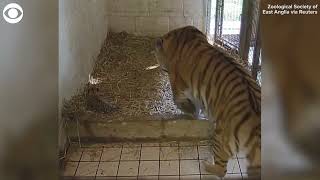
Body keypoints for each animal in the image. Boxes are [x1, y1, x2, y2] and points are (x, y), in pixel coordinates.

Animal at [154, 26, 262, 178]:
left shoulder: (179, 88)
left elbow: (183, 103)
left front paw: (193, 112)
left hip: (221, 137)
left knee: (221, 170)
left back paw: (206, 164)